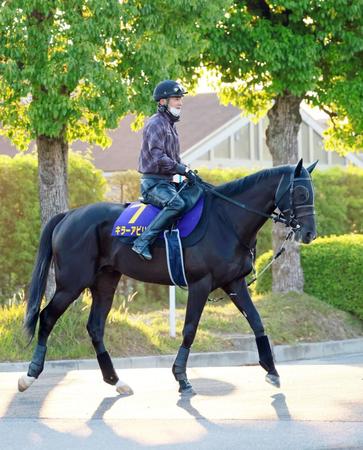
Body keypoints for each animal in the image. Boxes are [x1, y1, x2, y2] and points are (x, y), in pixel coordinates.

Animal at [18, 158, 318, 394]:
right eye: (302, 192)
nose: (309, 233)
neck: (226, 220)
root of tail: (69, 215)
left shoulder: (234, 283)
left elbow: (256, 322)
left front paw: (271, 370)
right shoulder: (200, 285)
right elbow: (189, 329)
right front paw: (181, 377)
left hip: (105, 282)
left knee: (95, 327)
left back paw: (115, 380)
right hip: (71, 284)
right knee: (47, 317)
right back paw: (30, 374)